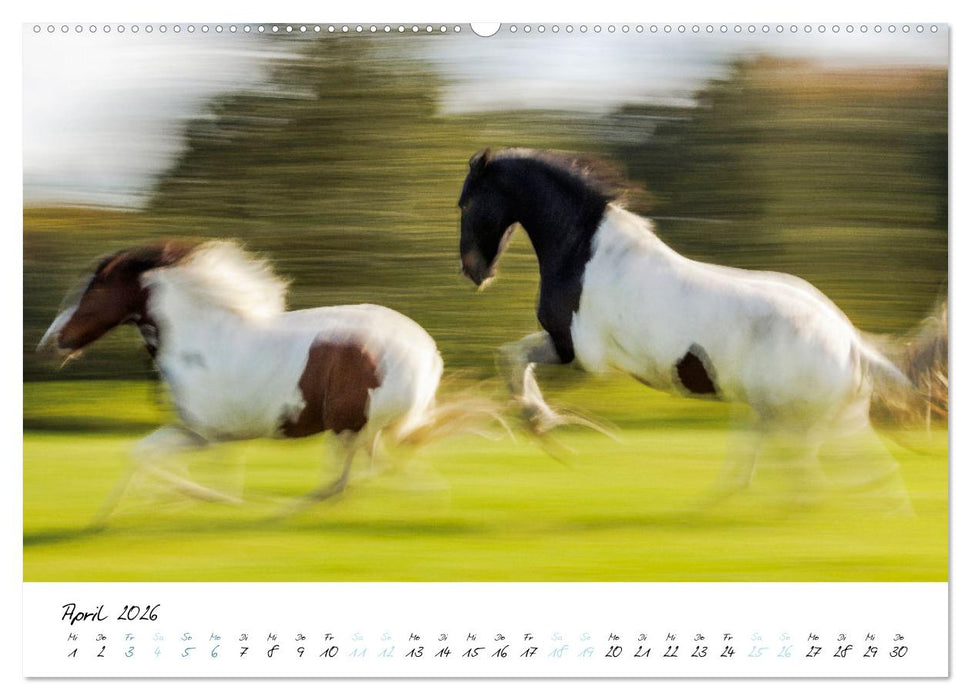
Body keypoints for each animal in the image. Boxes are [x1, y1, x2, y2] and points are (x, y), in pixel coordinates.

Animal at [38, 239, 455, 522]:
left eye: (95, 288)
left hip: (350, 426)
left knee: (349, 479)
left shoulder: (207, 436)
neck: (199, 338)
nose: (50, 343)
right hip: (359, 430)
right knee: (366, 474)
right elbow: (140, 454)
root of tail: (428, 353)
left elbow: (199, 478)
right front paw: (106, 516)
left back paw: (281, 512)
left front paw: (202, 499)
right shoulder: (195, 431)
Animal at [457, 147, 925, 509]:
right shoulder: (564, 345)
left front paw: (544, 428)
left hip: (801, 421)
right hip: (804, 416)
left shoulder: (580, 353)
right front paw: (544, 426)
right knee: (852, 473)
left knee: (816, 478)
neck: (587, 254)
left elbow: (514, 362)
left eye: (465, 203)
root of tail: (850, 344)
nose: (474, 272)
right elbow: (511, 357)